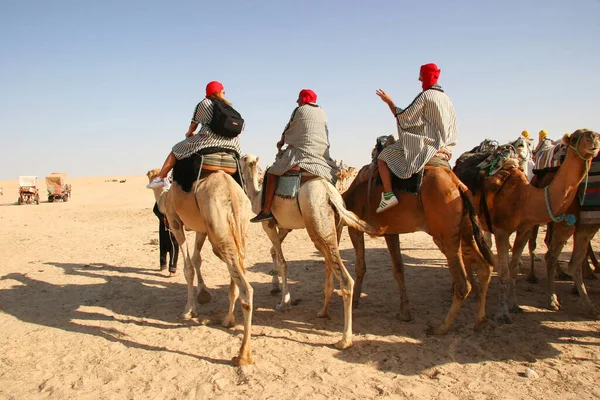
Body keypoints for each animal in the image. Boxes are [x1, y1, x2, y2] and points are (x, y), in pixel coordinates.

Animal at [149, 166, 255, 366]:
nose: (152, 182)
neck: (165, 196)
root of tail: (231, 192)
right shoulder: (201, 229)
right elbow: (197, 258)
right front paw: (203, 294)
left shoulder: (174, 220)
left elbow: (188, 267)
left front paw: (188, 311)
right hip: (238, 228)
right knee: (236, 270)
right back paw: (228, 320)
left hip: (218, 226)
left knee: (246, 288)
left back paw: (243, 355)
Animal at [238, 155, 382, 348]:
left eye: (243, 158)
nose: (239, 159)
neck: (256, 195)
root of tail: (331, 195)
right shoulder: (285, 227)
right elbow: (273, 251)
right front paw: (275, 287)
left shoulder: (267, 223)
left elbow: (282, 262)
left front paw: (284, 303)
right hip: (333, 227)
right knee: (330, 263)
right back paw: (323, 312)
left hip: (316, 222)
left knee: (345, 280)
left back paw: (344, 339)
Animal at [340, 159, 494, 334]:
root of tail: (457, 184)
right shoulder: (391, 231)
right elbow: (398, 269)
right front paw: (405, 313)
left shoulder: (355, 227)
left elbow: (361, 266)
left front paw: (356, 300)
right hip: (464, 230)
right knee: (484, 267)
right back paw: (480, 321)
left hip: (445, 233)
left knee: (463, 284)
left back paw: (441, 327)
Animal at [454, 130, 600, 324]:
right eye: (576, 137)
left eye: (596, 135)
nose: (594, 138)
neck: (524, 197)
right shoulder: (501, 230)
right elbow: (503, 271)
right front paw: (502, 313)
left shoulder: (525, 229)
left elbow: (514, 269)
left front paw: (515, 305)